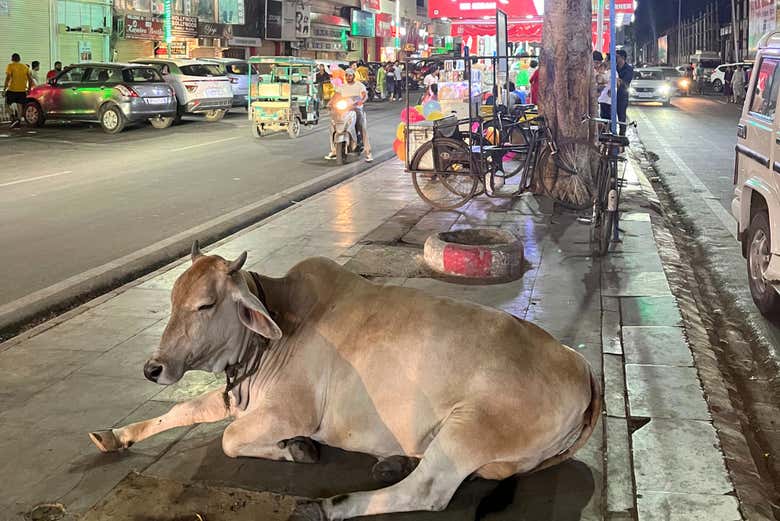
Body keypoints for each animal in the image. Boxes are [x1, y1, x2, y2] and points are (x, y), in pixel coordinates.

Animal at [90, 244, 604, 520]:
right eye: (173, 298)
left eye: (206, 305)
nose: (153, 368)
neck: (275, 330)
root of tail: (581, 366)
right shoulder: (238, 397)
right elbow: (182, 410)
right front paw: (116, 434)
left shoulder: (289, 410)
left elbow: (230, 440)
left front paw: (297, 449)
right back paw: (393, 462)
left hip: (472, 427)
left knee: (428, 490)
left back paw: (328, 505)